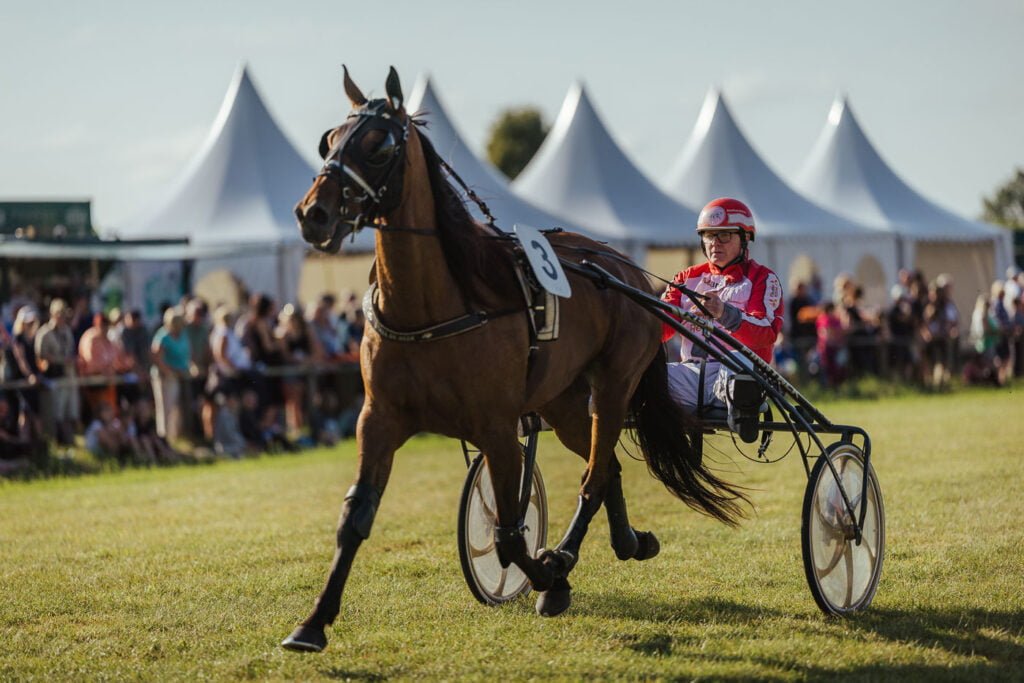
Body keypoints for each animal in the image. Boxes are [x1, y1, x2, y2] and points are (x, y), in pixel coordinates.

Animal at [284, 68, 749, 651]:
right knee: (606, 466)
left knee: (594, 475)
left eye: (378, 145)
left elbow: (508, 533)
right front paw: (312, 623)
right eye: (328, 140)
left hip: (613, 386)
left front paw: (549, 576)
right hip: (564, 403)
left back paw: (570, 558)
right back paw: (625, 541)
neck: (434, 306)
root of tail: (622, 268)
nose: (313, 215)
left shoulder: (497, 428)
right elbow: (355, 517)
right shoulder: (379, 418)